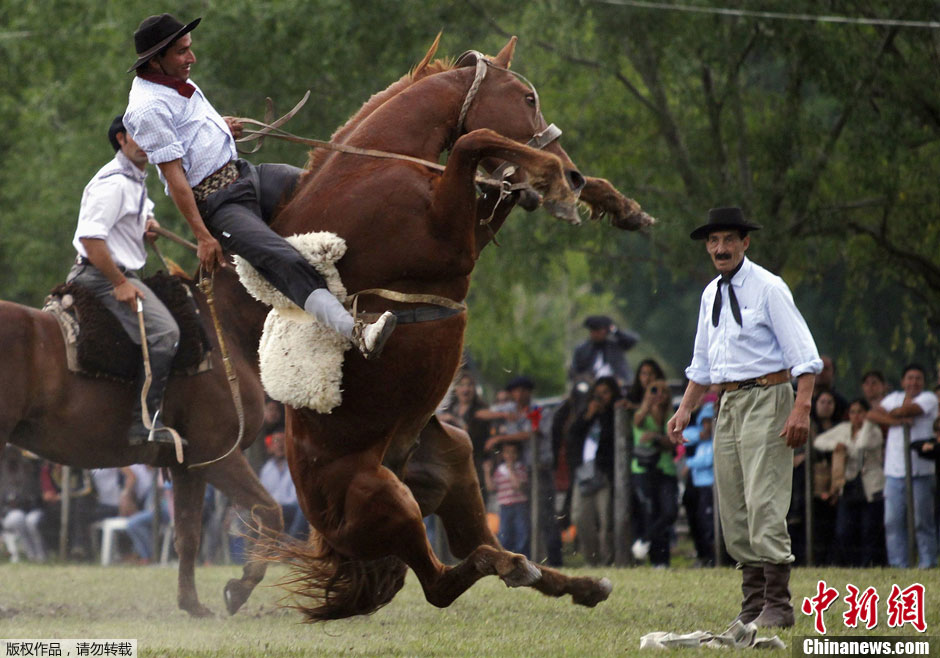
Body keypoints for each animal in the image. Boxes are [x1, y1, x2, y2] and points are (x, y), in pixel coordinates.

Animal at [0, 265, 281, 618]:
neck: (223, 329)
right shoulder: (217, 454)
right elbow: (269, 510)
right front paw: (240, 588)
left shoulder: (188, 465)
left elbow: (188, 534)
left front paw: (192, 604)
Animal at [259, 35, 655, 620]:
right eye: (527, 97)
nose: (573, 171)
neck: (374, 170)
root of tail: (321, 527)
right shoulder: (451, 243)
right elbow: (475, 140)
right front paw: (555, 184)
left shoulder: (468, 229)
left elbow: (492, 173)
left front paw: (610, 201)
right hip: (387, 500)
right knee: (441, 581)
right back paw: (514, 565)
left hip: (457, 464)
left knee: (473, 546)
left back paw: (575, 582)